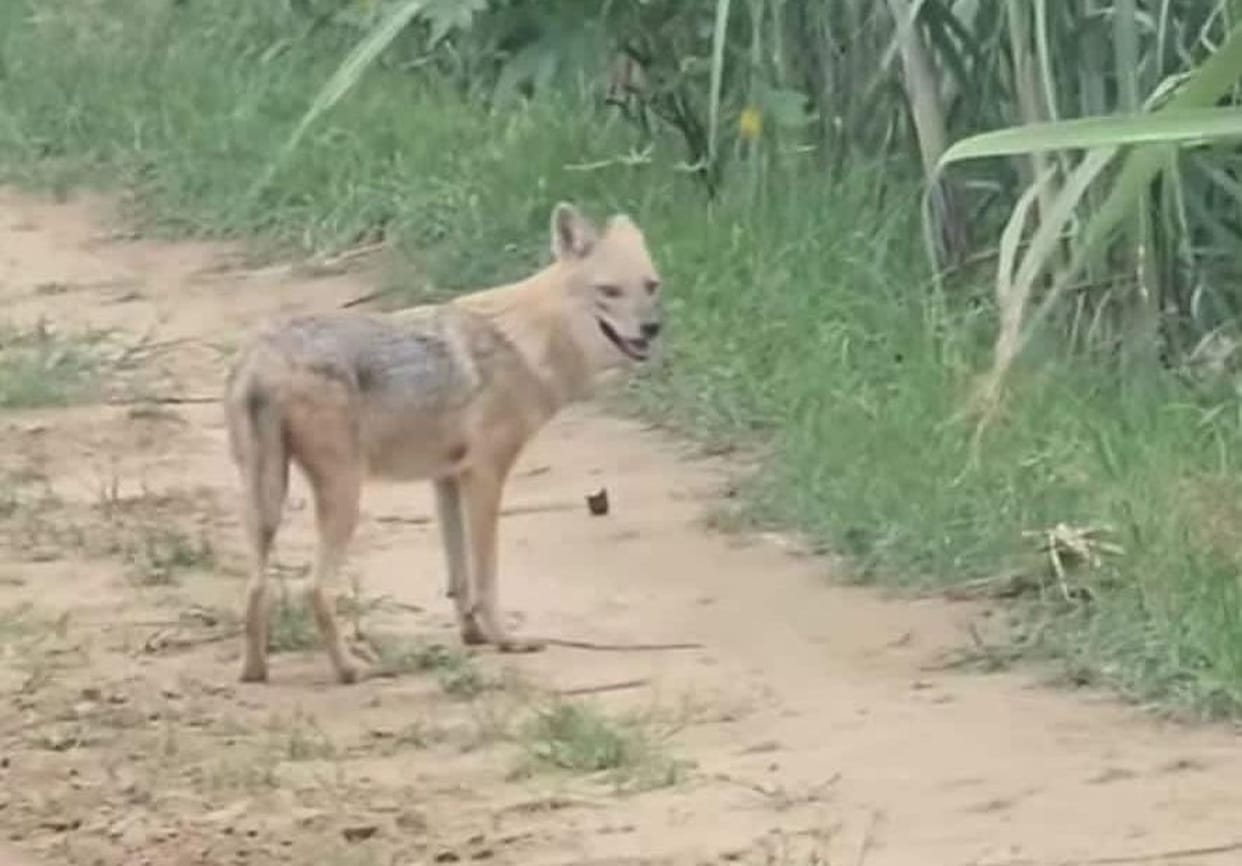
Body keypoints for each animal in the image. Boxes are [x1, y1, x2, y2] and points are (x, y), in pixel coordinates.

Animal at [223, 202, 664, 684]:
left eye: (651, 286)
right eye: (608, 291)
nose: (652, 328)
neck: (528, 344)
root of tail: (261, 357)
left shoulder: (446, 479)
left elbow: (459, 578)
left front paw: (473, 635)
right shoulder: (485, 477)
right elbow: (486, 576)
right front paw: (506, 640)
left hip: (265, 506)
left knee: (256, 586)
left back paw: (254, 672)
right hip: (342, 498)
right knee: (315, 588)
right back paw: (350, 670)